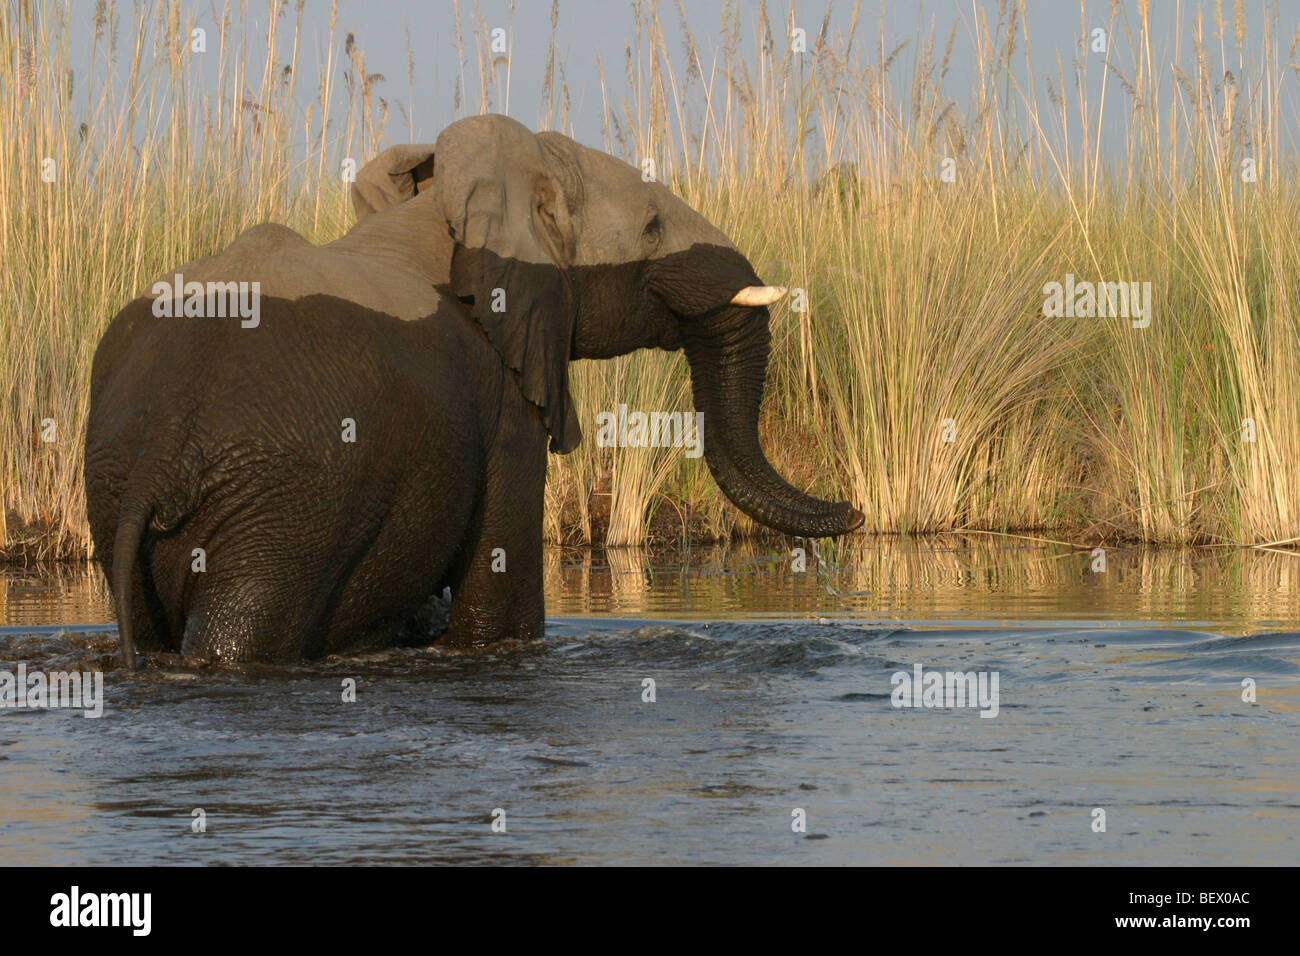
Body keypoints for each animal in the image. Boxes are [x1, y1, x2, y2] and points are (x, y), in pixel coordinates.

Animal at [86, 113, 868, 665]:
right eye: (651, 227)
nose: (857, 512)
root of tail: (162, 449)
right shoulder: (500, 396)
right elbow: (499, 605)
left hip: (121, 487)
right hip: (285, 501)